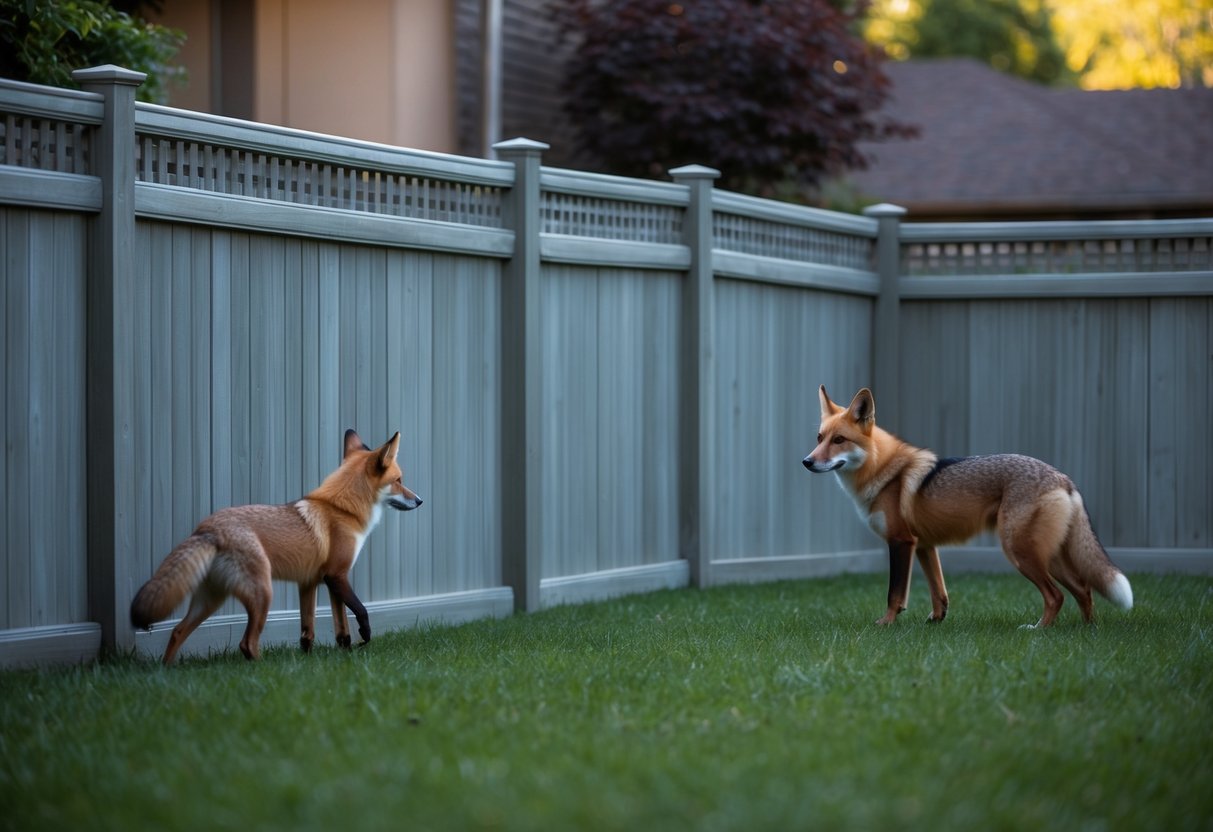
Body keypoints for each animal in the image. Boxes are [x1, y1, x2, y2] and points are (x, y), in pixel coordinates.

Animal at [130, 429, 423, 664]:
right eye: (399, 481)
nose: (420, 500)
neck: (342, 509)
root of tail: (207, 528)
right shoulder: (337, 575)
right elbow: (360, 611)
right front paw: (365, 636)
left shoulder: (312, 582)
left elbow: (321, 630)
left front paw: (322, 657)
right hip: (262, 593)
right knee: (246, 644)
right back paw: (266, 672)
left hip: (210, 600)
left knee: (177, 631)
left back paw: (165, 671)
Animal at [803, 386, 1133, 628]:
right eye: (819, 438)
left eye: (839, 440)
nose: (807, 462)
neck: (882, 471)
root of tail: (1063, 477)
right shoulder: (924, 546)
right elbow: (939, 593)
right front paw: (936, 622)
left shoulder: (901, 542)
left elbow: (894, 593)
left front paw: (885, 624)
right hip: (1049, 556)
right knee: (1084, 590)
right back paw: (1086, 631)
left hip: (1021, 552)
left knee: (1056, 596)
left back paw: (1039, 630)